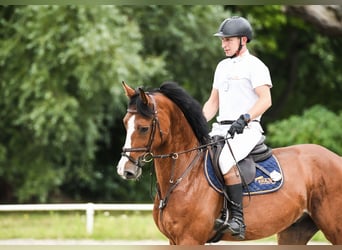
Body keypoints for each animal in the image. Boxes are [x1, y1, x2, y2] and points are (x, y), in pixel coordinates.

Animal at [116, 81, 340, 244]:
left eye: (143, 128)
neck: (184, 176)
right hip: (293, 231)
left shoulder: (190, 239)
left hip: (334, 229)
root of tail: (335, 158)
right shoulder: (174, 240)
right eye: (125, 124)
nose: (125, 170)